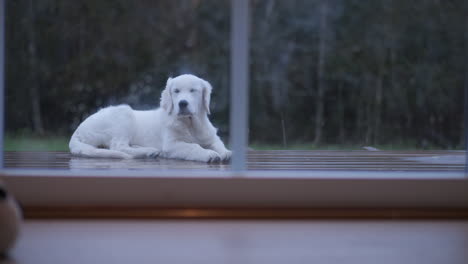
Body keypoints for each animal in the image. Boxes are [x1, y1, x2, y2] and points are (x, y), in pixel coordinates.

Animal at [68, 73, 232, 162]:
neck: (190, 123)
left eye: (193, 91)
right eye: (176, 91)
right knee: (117, 146)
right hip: (124, 114)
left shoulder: (211, 136)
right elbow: (193, 146)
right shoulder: (171, 144)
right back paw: (149, 151)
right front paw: (209, 154)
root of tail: (77, 131)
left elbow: (218, 144)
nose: (182, 103)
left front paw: (225, 152)